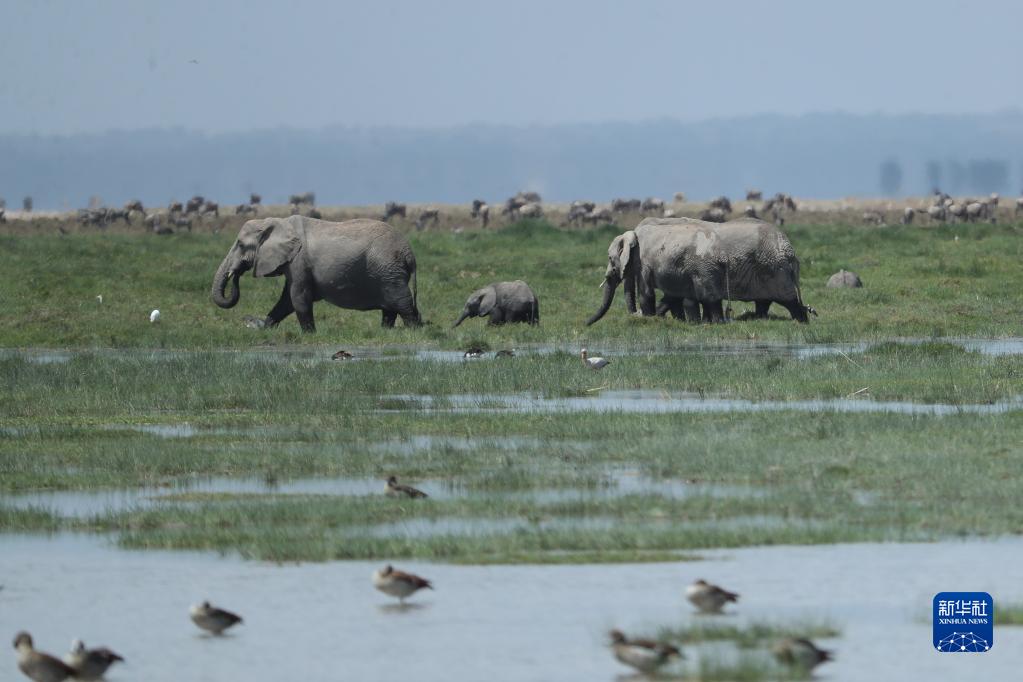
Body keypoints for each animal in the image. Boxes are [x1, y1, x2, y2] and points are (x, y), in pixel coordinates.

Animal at [209, 213, 421, 331]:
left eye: (240, 244)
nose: (235, 273)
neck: (277, 223)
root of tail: (410, 254)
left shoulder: (299, 261)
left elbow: (298, 297)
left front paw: (309, 334)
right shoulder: (293, 262)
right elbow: (286, 300)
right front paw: (266, 328)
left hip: (388, 268)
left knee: (402, 303)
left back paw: (413, 331)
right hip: (388, 270)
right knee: (391, 308)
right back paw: (387, 331)